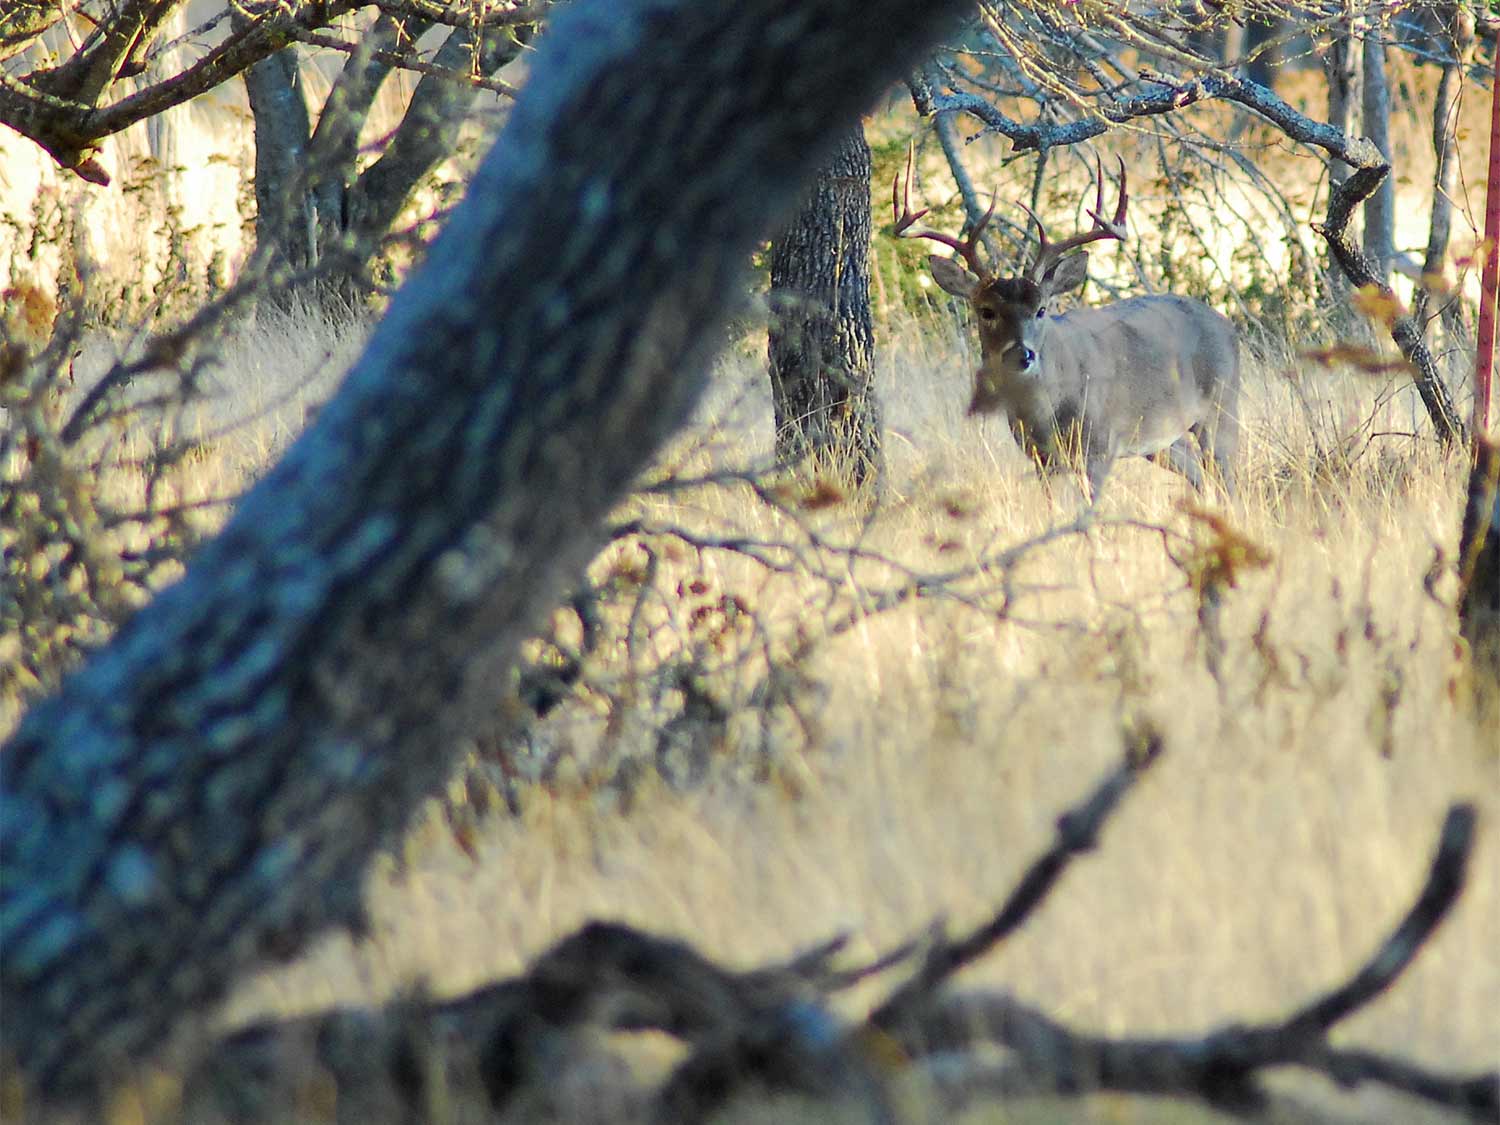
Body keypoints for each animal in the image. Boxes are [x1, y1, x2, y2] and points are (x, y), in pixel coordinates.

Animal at [900, 150, 1242, 501]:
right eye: (986, 311)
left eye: (1041, 310)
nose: (1022, 355)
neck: (1048, 409)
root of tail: (1226, 325)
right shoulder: (1041, 458)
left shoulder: (1100, 447)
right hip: (1163, 439)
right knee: (1200, 477)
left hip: (1222, 405)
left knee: (1228, 480)